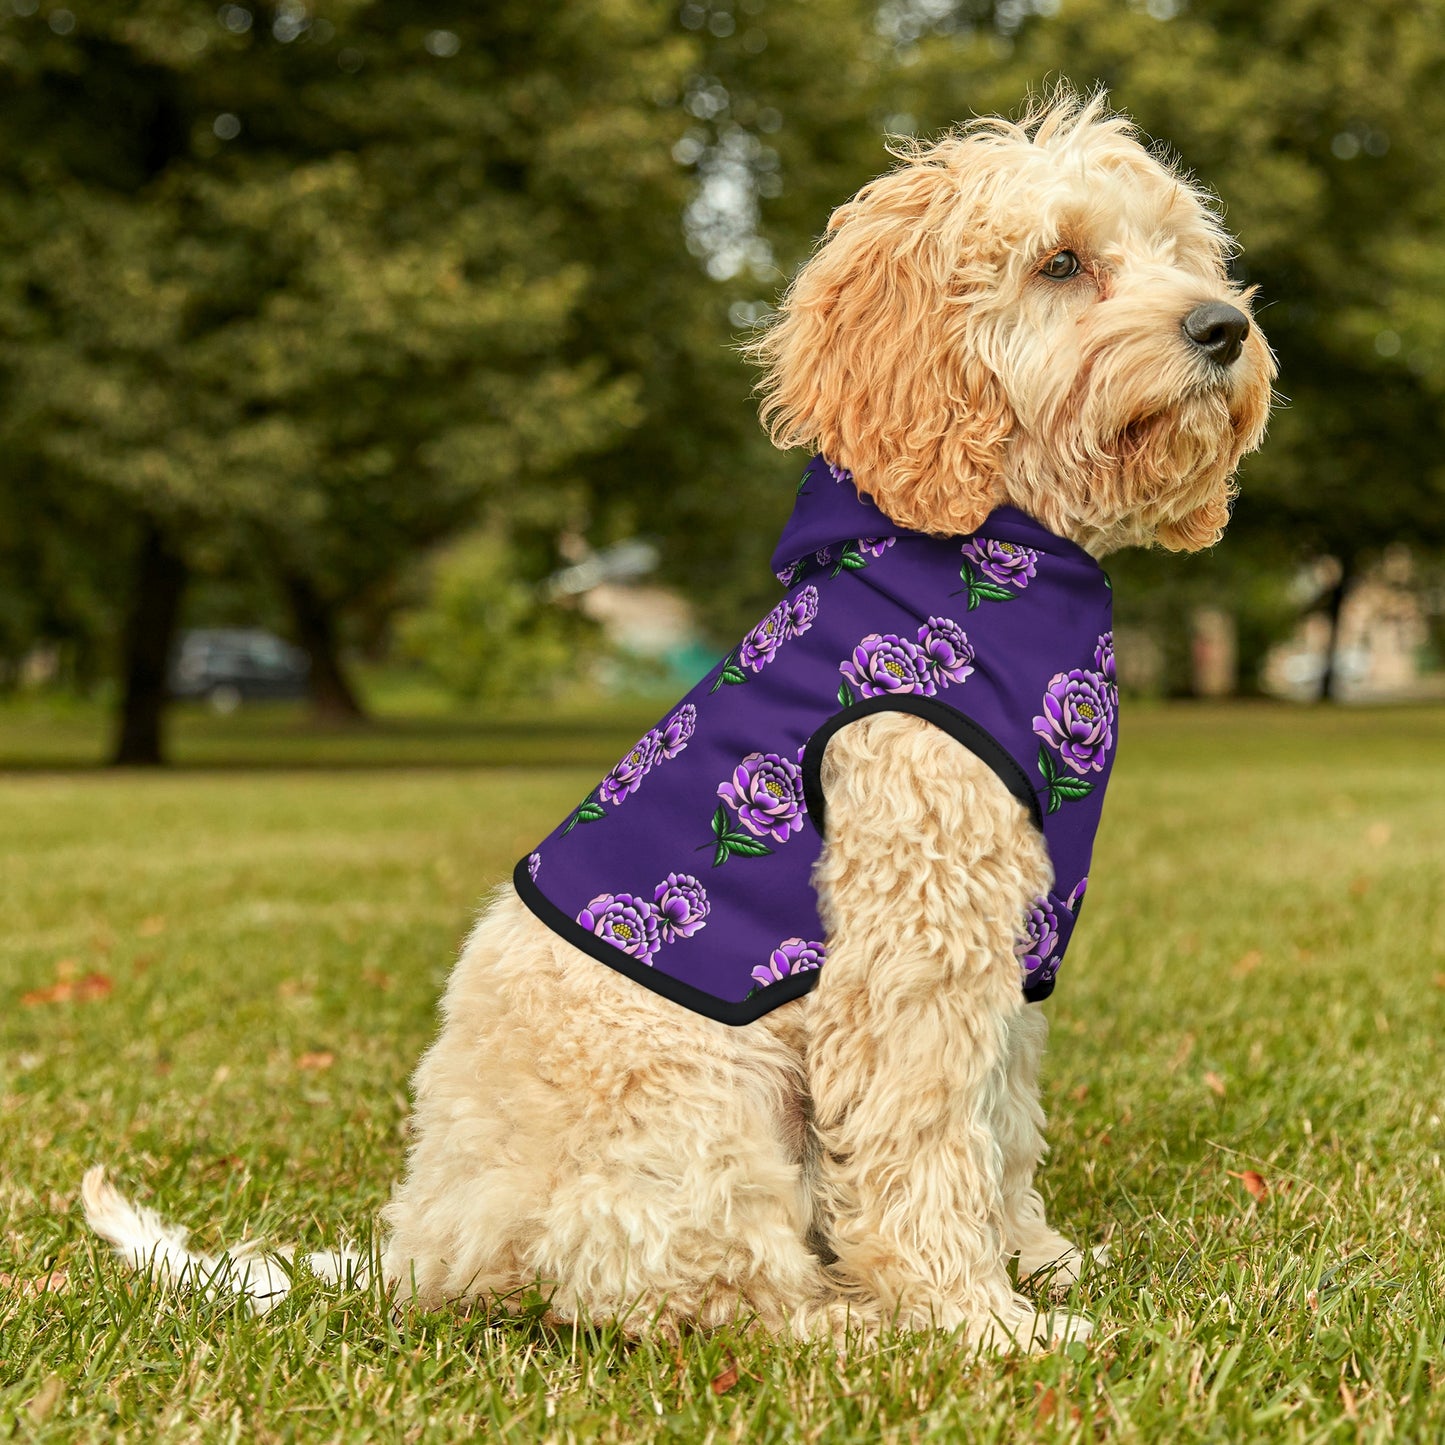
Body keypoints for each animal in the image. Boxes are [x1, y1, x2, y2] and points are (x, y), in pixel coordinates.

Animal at [84, 93, 1271, 1352]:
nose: (1223, 327)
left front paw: (1035, 1260)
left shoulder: (1009, 941)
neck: (984, 554)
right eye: (1059, 262)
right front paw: (976, 1319)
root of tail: (423, 1247)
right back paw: (852, 1322)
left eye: (1180, 252)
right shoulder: (911, 939)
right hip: (703, 1101)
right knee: (700, 1291)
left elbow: (998, 1120)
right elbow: (924, 1138)